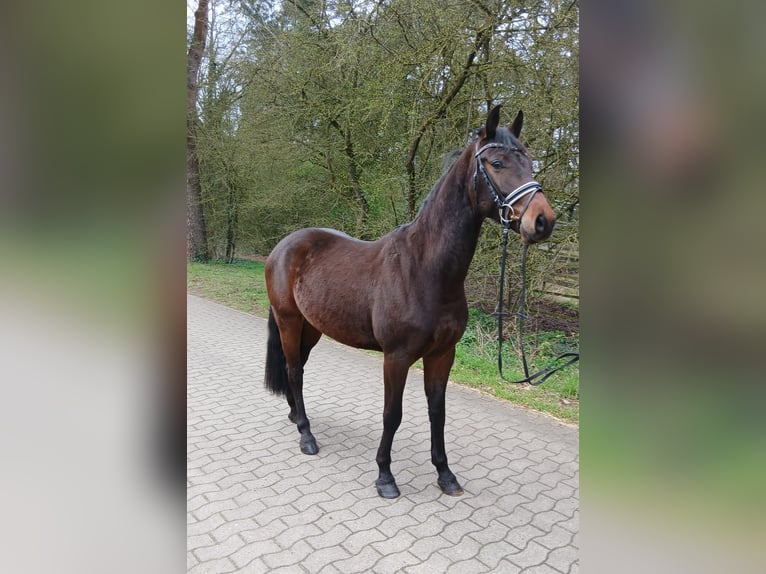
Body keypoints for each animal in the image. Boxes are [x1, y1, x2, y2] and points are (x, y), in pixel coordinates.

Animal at [264, 104, 556, 498]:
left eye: (529, 160)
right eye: (497, 163)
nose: (542, 221)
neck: (425, 270)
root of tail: (284, 246)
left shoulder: (442, 355)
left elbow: (438, 413)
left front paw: (445, 474)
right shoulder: (397, 357)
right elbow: (393, 414)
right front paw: (385, 476)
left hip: (312, 327)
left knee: (299, 369)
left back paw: (297, 416)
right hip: (289, 321)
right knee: (294, 370)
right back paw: (306, 435)